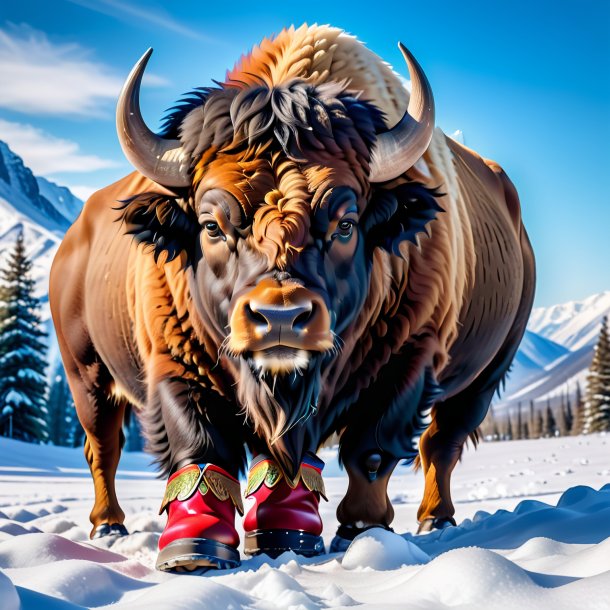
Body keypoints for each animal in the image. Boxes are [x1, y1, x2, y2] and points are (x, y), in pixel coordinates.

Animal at [48, 25, 532, 568]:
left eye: (345, 224)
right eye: (211, 225)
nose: (280, 318)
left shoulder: (408, 361)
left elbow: (369, 450)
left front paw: (347, 532)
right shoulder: (174, 362)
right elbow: (200, 445)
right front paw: (195, 547)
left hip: (484, 376)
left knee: (441, 443)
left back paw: (436, 518)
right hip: (86, 373)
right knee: (103, 445)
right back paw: (108, 525)